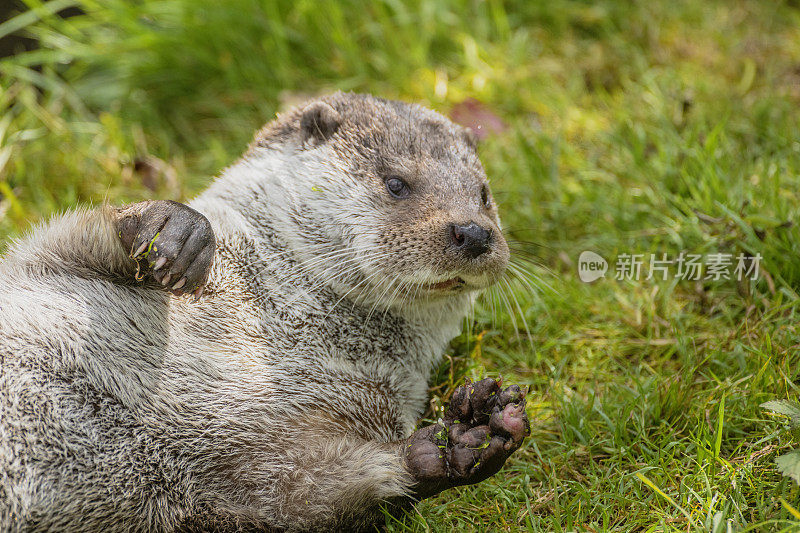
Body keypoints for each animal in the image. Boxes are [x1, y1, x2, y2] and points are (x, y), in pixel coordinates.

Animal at [0, 93, 532, 528]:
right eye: (397, 183)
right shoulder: (40, 274)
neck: (282, 326)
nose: (474, 231)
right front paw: (174, 229)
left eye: (484, 194)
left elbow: (315, 496)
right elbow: (67, 238)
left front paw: (460, 440)